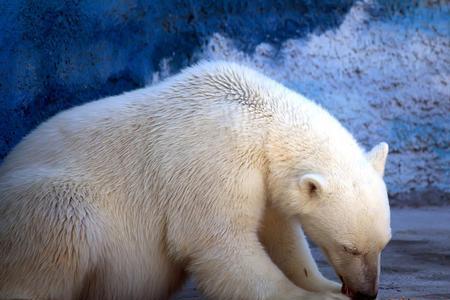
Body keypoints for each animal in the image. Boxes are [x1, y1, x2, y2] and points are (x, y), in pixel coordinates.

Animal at [0, 61, 390, 300]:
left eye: (382, 244)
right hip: (46, 199)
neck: (259, 117)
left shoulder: (264, 179)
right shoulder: (215, 154)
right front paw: (314, 296)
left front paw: (322, 283)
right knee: (63, 222)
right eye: (349, 248)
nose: (367, 292)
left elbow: (282, 237)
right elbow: (216, 240)